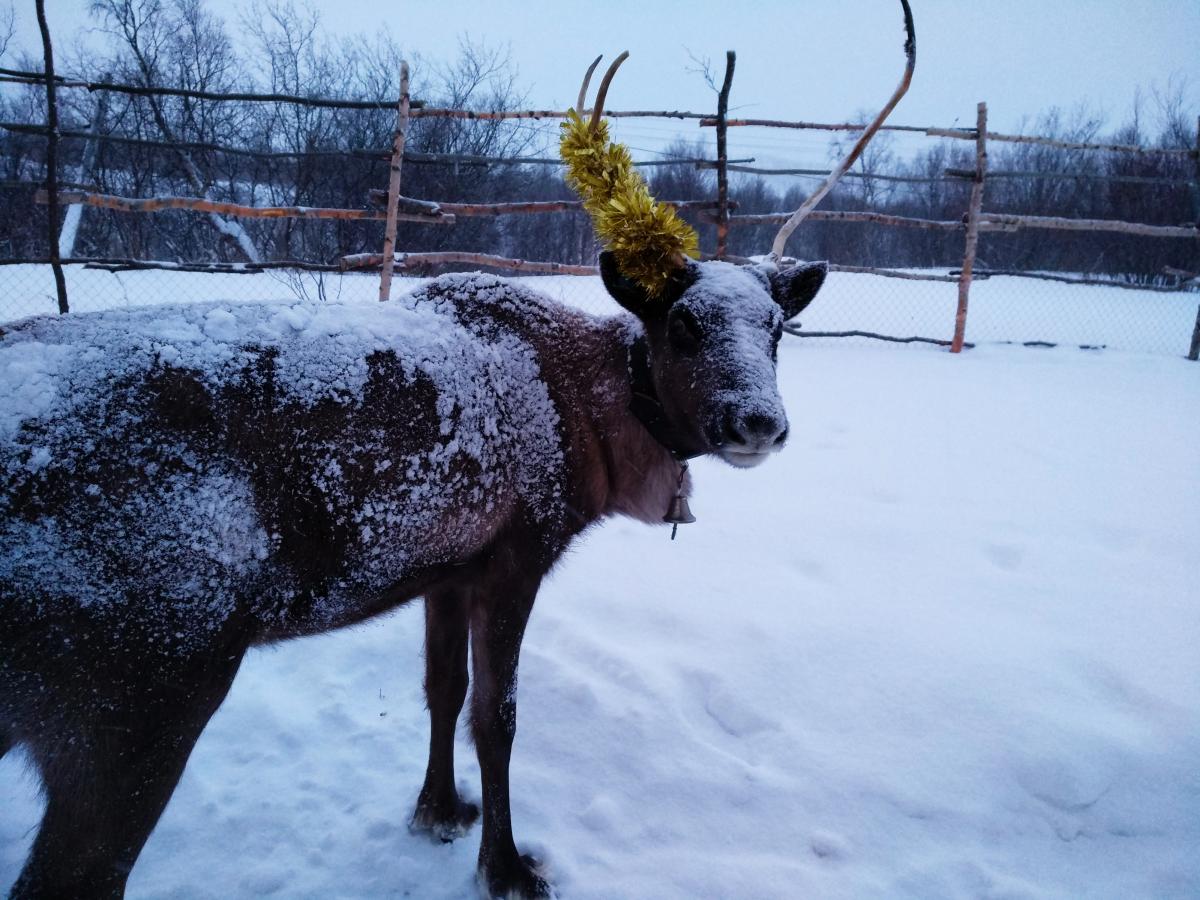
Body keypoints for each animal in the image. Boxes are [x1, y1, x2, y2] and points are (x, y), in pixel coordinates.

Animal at [0, 4, 914, 897]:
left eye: (777, 327)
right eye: (681, 325)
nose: (758, 421)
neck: (588, 429)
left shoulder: (447, 564)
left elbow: (443, 692)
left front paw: (437, 810)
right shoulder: (517, 549)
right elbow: (496, 717)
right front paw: (506, 866)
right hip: (138, 683)